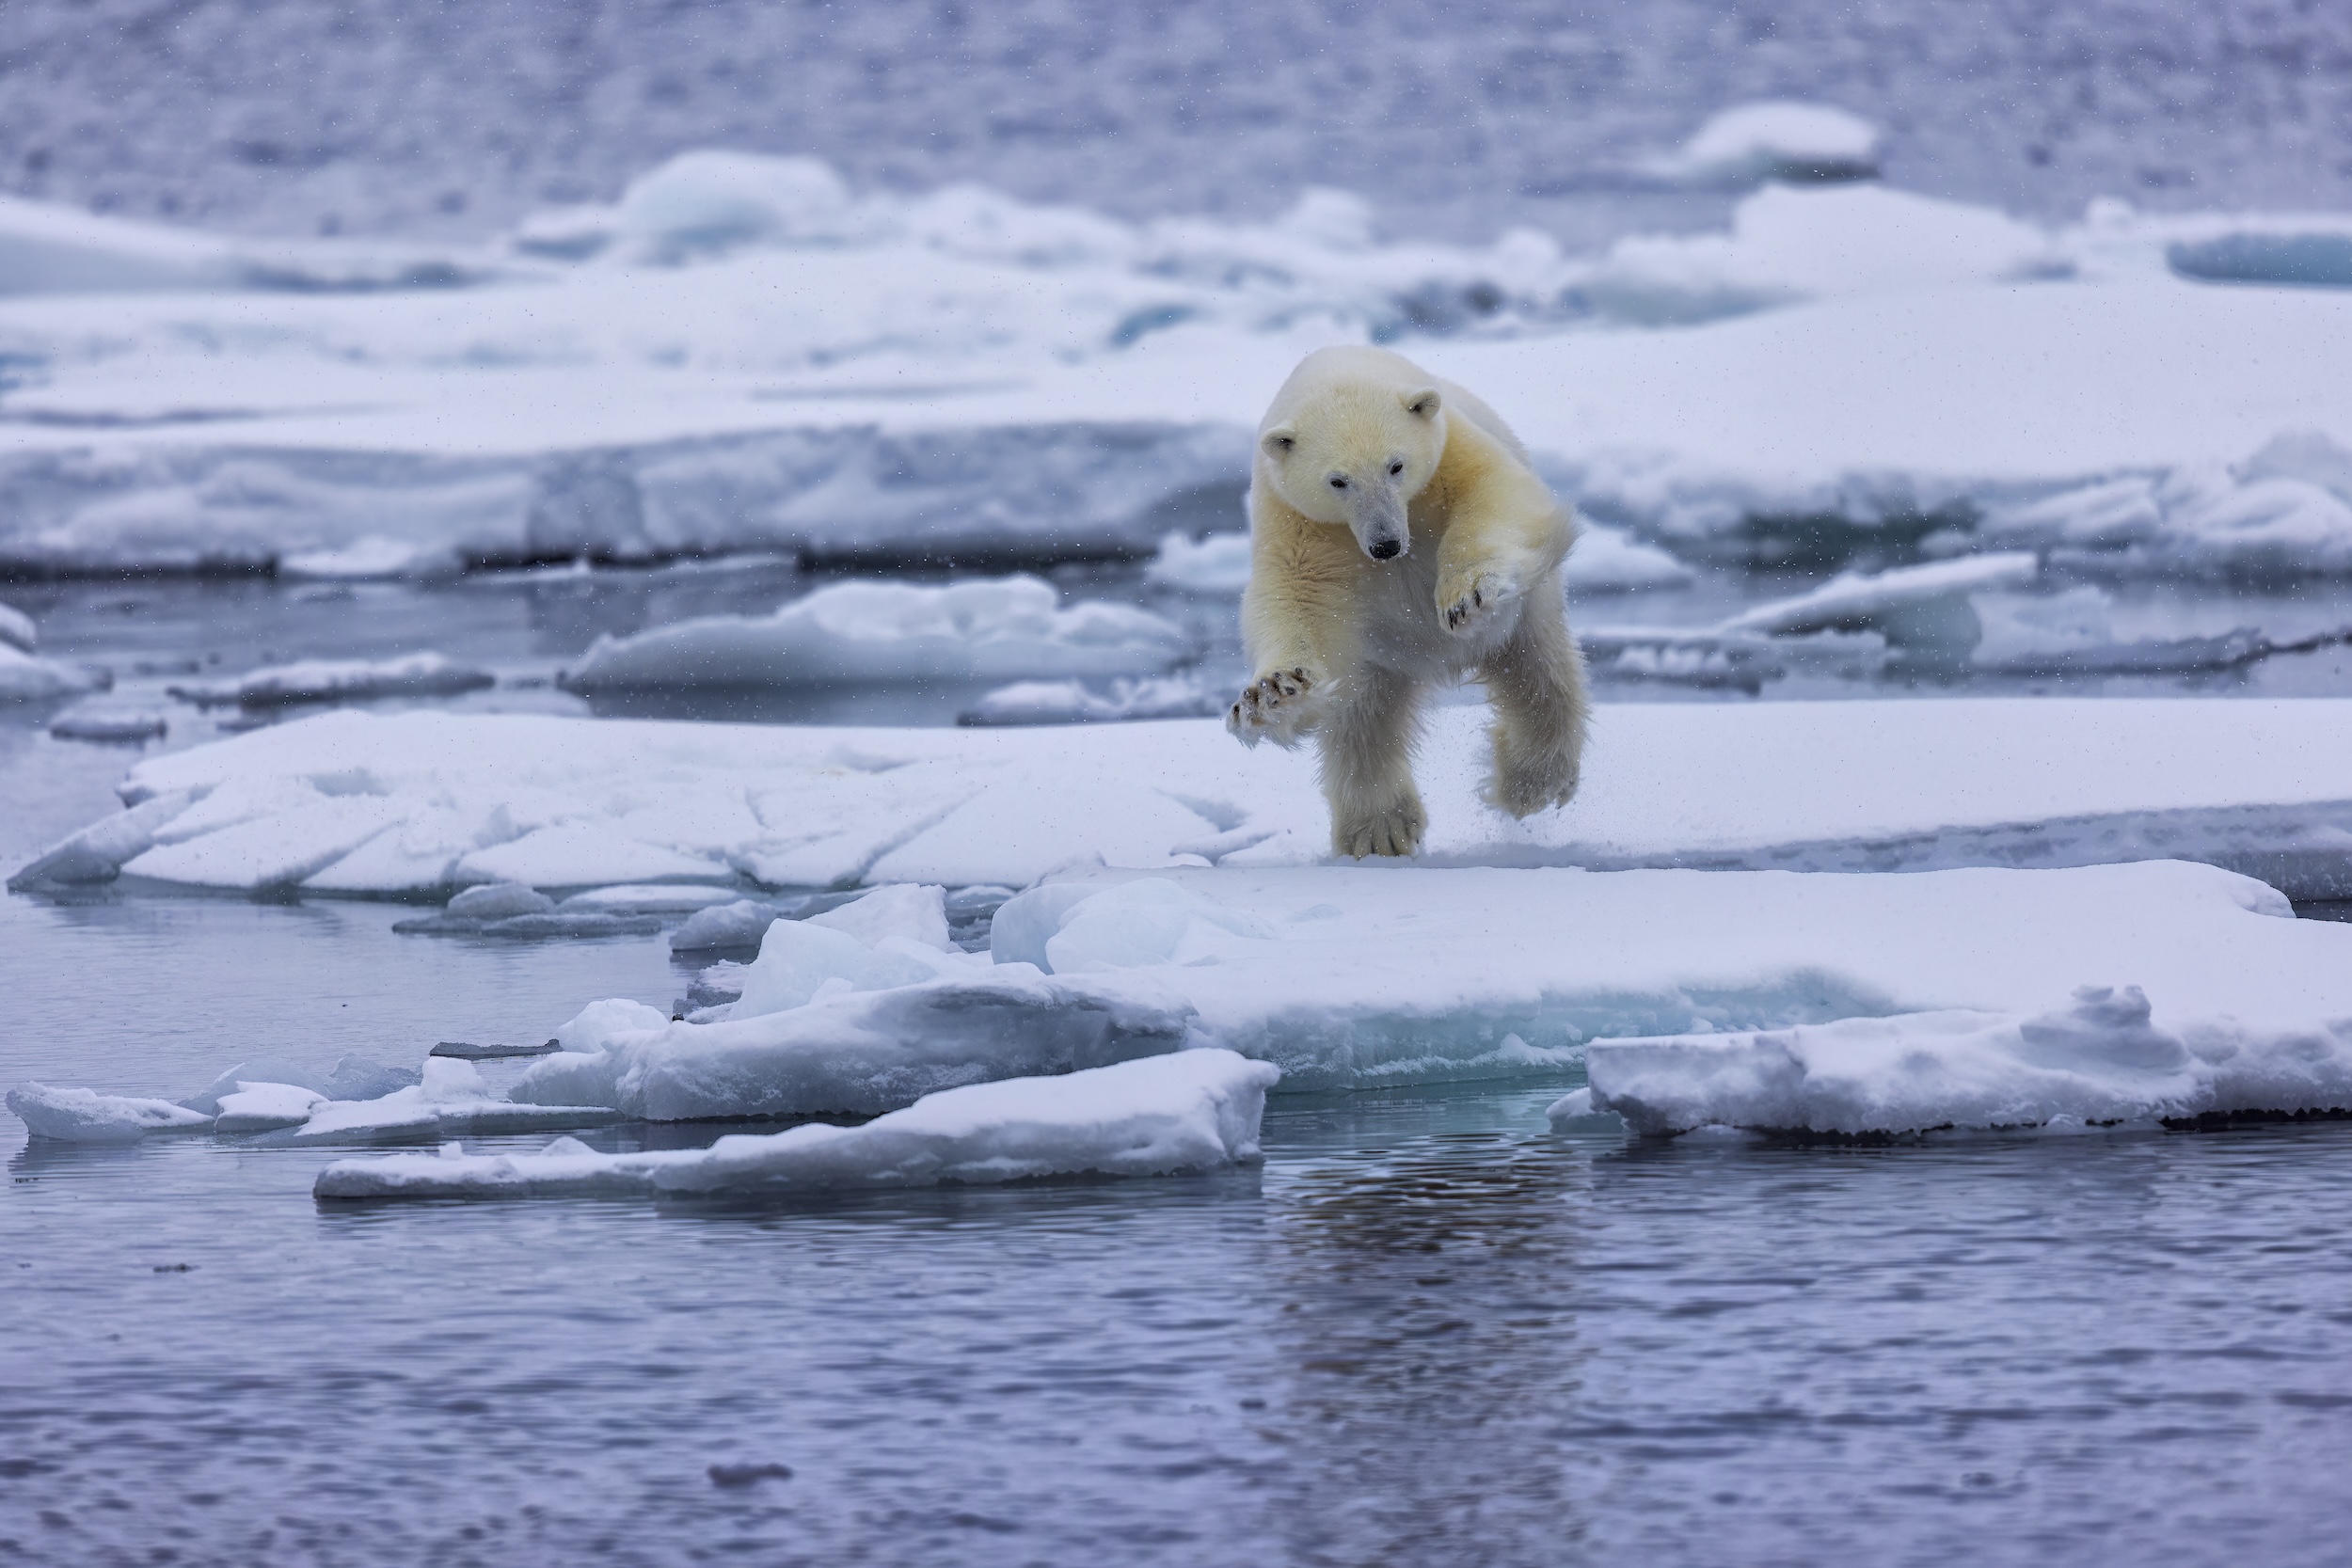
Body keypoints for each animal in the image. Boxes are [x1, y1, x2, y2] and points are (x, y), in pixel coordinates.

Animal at [1226, 345, 1590, 858]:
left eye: (1396, 466)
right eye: (1338, 481)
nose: (1385, 544)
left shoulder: (1449, 451)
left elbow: (1495, 494)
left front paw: (1465, 599)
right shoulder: (1298, 519)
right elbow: (1296, 598)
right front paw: (1273, 694)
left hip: (1527, 615)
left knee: (1540, 674)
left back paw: (1531, 784)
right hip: (1376, 664)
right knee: (1362, 724)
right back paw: (1379, 832)